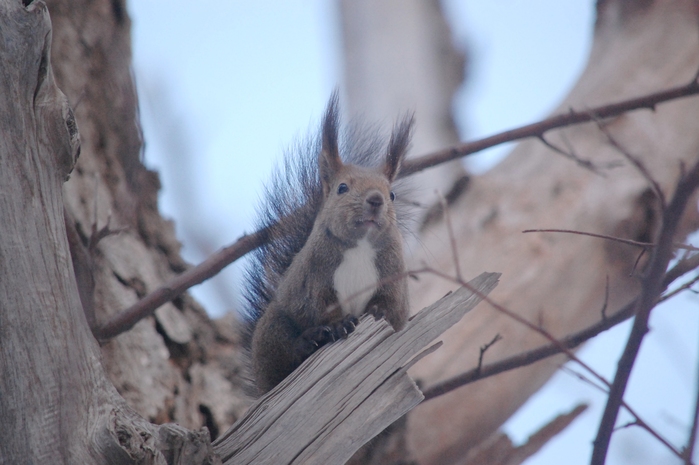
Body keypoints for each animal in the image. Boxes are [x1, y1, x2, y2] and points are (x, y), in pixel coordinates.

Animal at [243, 92, 412, 394]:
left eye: (391, 194)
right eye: (342, 188)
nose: (376, 200)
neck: (360, 246)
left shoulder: (394, 274)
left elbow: (394, 308)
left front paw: (378, 311)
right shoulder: (314, 277)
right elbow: (320, 306)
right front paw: (339, 326)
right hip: (272, 329)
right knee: (284, 358)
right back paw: (310, 340)